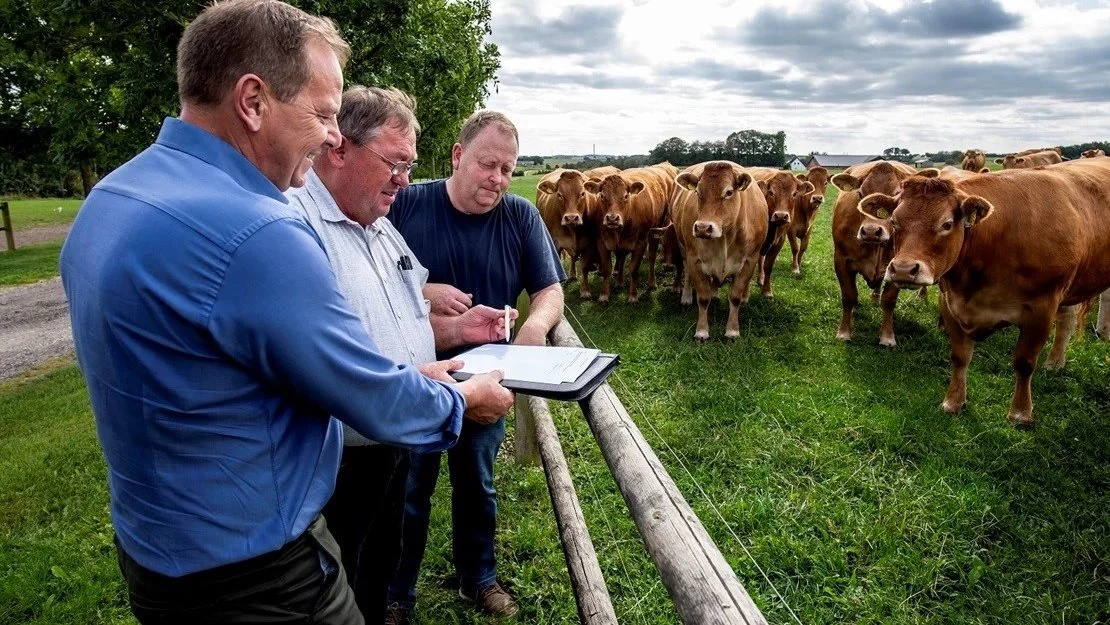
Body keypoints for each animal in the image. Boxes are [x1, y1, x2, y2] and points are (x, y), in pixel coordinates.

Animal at [590, 164, 674, 304]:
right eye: (602, 196)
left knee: (652, 257)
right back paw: (619, 282)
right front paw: (604, 295)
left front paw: (633, 295)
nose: (612, 219)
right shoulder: (601, 241)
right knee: (622, 257)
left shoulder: (640, 242)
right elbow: (607, 269)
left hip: (657, 229)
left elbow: (634, 269)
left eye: (625, 196)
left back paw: (652, 282)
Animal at [670, 158, 768, 339]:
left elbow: (735, 297)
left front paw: (732, 331)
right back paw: (686, 297)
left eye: (728, 192)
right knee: (687, 272)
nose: (702, 228)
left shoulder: (750, 260)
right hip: (683, 247)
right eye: (698, 192)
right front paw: (701, 331)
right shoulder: (694, 259)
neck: (725, 237)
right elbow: (703, 298)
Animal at [830, 159, 923, 346]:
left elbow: (888, 301)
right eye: (860, 194)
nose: (871, 231)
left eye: (897, 196)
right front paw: (844, 332)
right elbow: (848, 296)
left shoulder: (900, 267)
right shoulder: (841, 260)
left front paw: (887, 336)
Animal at [861, 159, 1110, 426]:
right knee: (1067, 320)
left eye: (947, 224)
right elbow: (960, 356)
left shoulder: (1042, 308)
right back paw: (1055, 362)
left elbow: (1024, 362)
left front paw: (1021, 413)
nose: (904, 270)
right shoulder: (951, 303)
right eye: (895, 222)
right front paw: (954, 401)